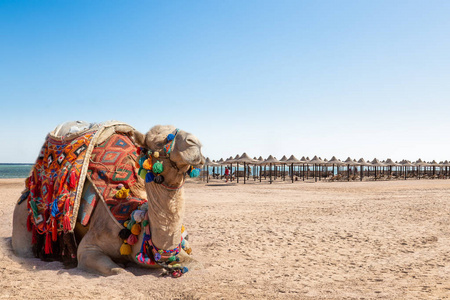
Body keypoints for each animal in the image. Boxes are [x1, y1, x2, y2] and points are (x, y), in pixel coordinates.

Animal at [11, 121, 204, 274]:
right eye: (158, 141)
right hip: (23, 218)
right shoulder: (89, 247)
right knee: (23, 249)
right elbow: (119, 271)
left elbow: (195, 262)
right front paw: (121, 266)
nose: (195, 142)